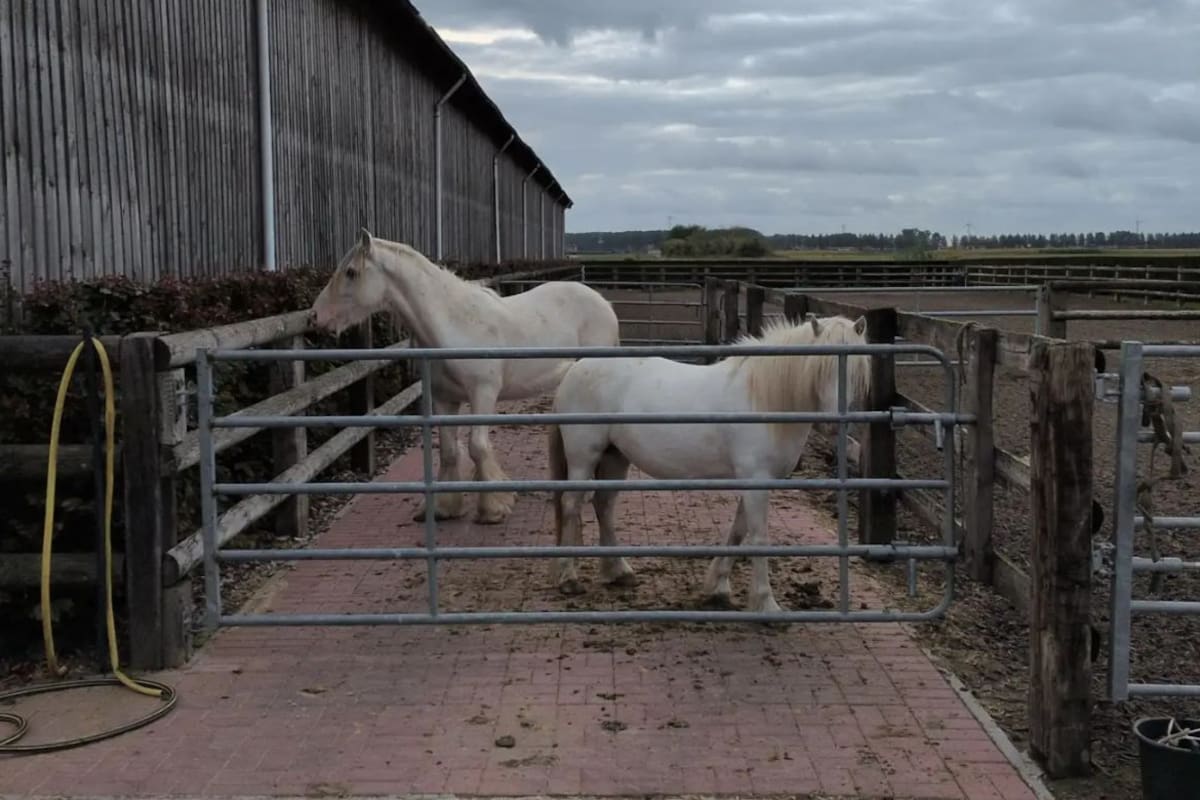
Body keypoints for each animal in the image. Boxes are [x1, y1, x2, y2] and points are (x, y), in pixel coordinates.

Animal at [311, 228, 621, 524]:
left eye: (351, 272)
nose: (315, 317)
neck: (454, 325)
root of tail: (603, 303)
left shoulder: (482, 394)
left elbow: (477, 447)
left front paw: (494, 508)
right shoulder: (444, 398)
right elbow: (449, 450)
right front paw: (444, 508)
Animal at [546, 314, 872, 613]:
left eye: (855, 368)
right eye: (819, 366)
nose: (834, 423)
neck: (763, 399)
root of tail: (574, 368)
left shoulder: (756, 482)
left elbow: (738, 531)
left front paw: (717, 587)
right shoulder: (756, 480)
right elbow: (758, 536)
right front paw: (766, 604)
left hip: (616, 458)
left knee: (603, 504)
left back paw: (618, 572)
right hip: (584, 457)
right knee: (572, 505)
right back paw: (569, 578)